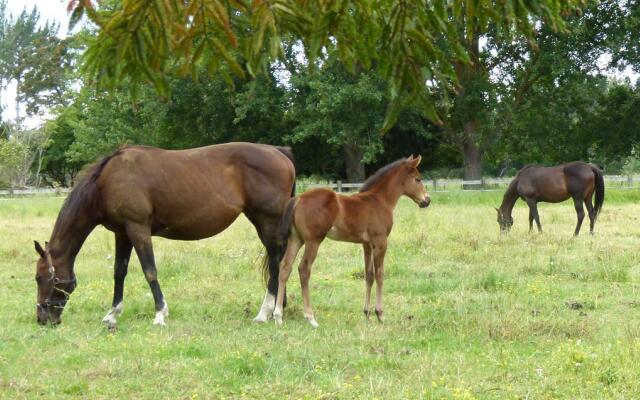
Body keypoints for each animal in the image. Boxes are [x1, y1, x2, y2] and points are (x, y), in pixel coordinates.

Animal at [32, 143, 296, 324]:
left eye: (40, 277)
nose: (43, 319)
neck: (106, 182)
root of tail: (278, 151)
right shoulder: (122, 234)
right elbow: (119, 272)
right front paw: (113, 313)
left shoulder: (138, 229)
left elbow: (149, 271)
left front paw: (160, 313)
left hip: (267, 222)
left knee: (275, 266)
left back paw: (264, 312)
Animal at [274, 155, 430, 326]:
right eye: (418, 179)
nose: (427, 200)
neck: (380, 201)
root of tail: (298, 198)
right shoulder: (380, 242)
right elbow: (380, 274)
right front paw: (379, 314)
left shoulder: (367, 244)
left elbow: (369, 275)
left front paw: (367, 313)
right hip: (313, 241)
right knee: (303, 269)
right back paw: (310, 317)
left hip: (296, 239)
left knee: (285, 267)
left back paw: (278, 315)